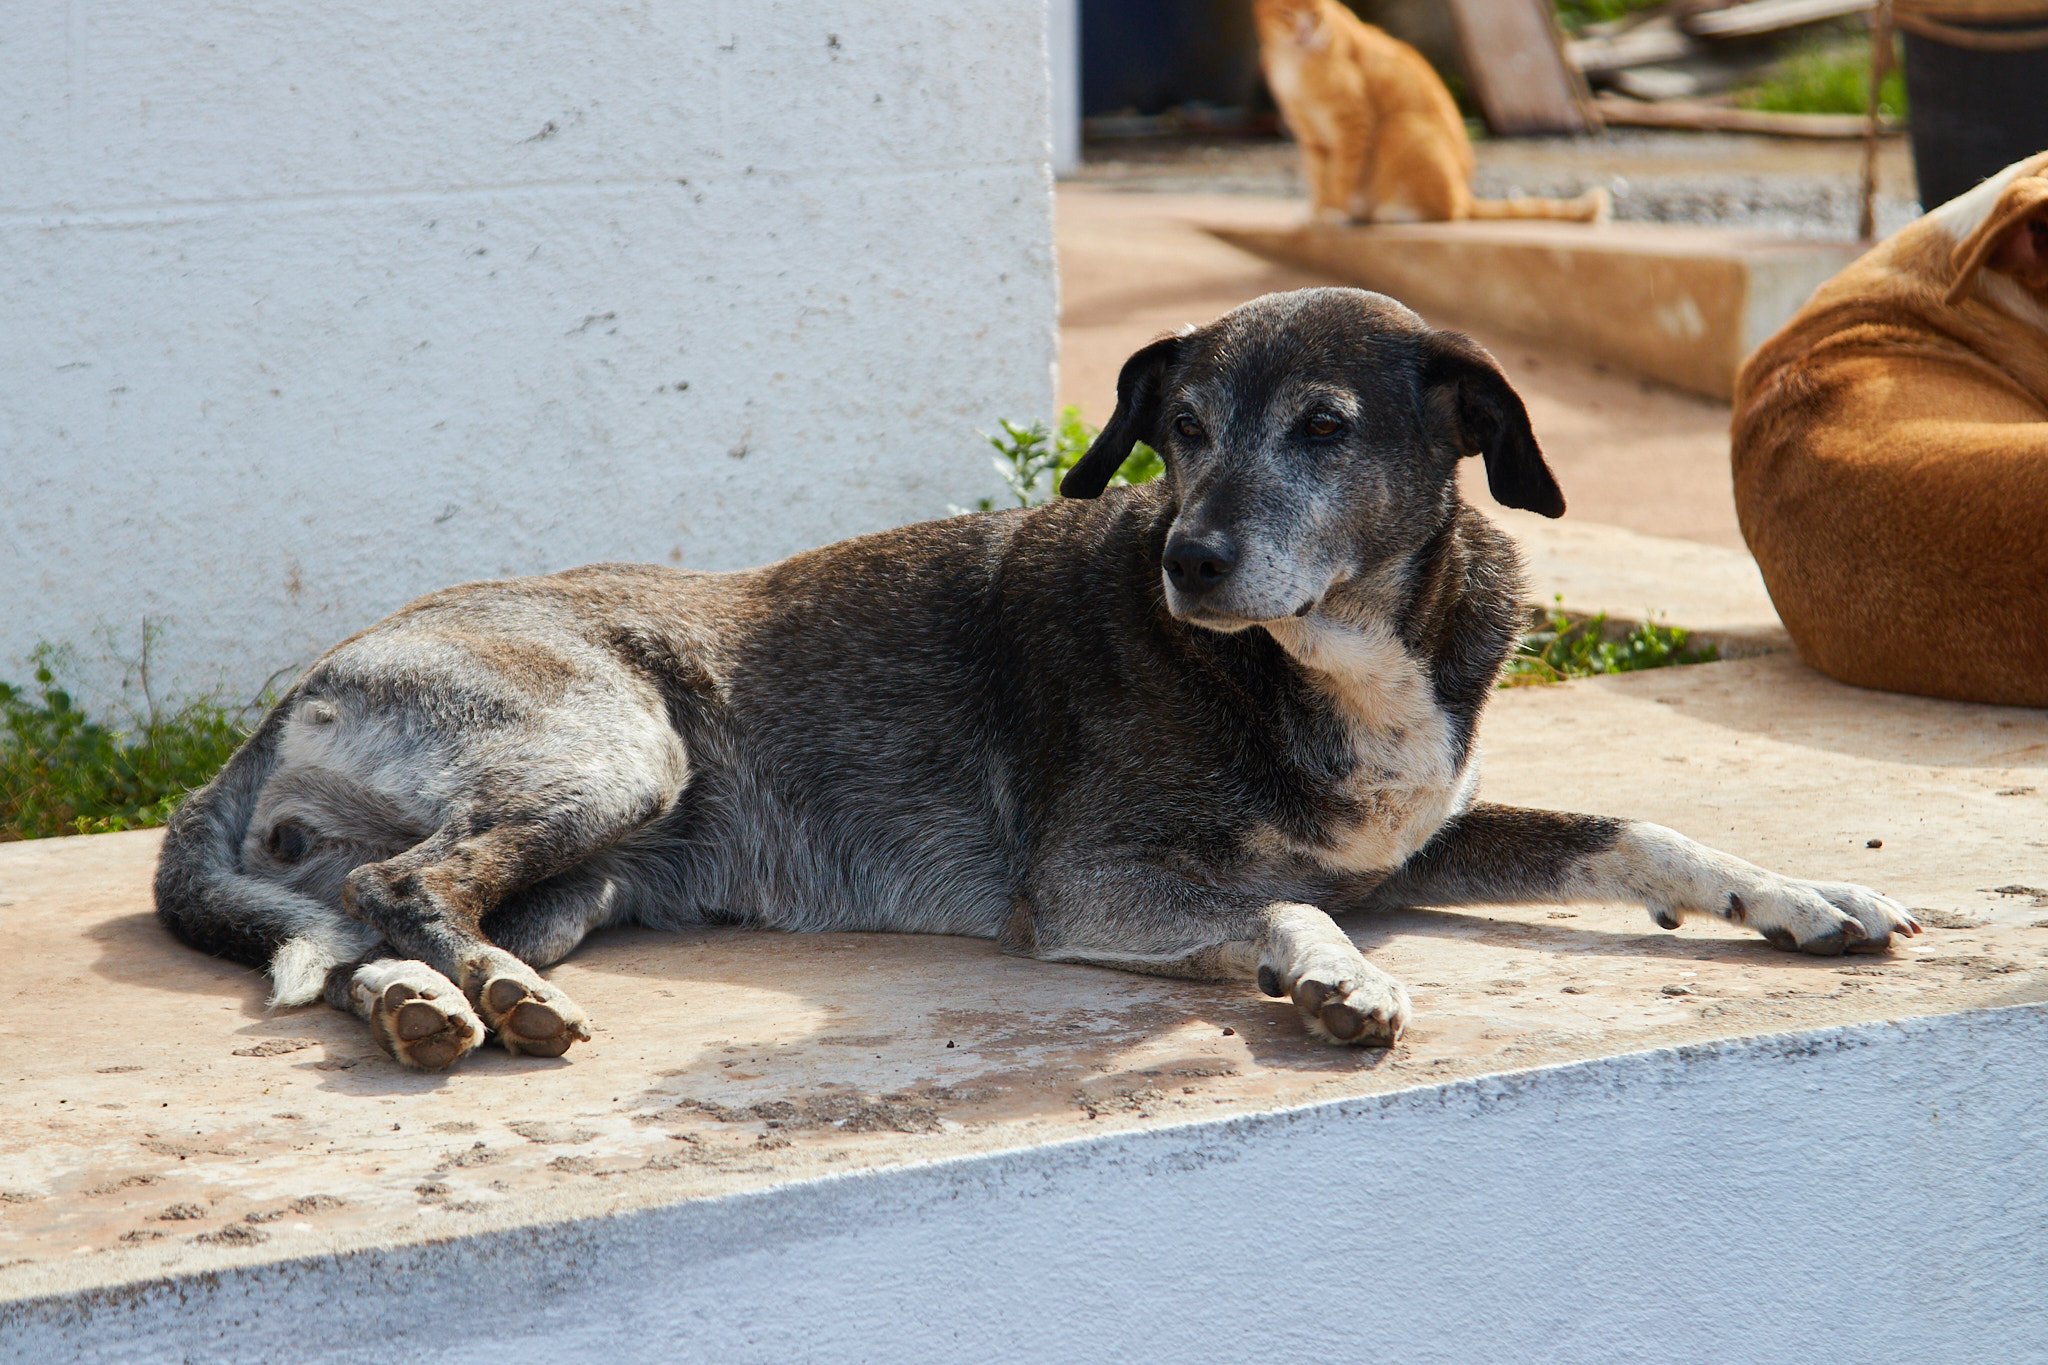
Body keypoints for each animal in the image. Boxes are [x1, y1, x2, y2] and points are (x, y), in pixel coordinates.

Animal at [156, 288, 1918, 1071]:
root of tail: (293, 692)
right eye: (1181, 426)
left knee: (365, 925)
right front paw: (1334, 978)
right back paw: (479, 999)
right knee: (398, 883)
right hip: (614, 747)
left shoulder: (1423, 837)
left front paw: (1808, 900)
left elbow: (1640, 833)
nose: (1187, 562)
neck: (1326, 661)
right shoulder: (1086, 886)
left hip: (587, 876)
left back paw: (434, 1003)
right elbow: (1288, 905)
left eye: (1325, 429)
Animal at [1252, 0, 1607, 225]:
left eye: (1316, 15)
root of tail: (1464, 191)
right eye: (1286, 14)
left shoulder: (1354, 121)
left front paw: (1335, 212)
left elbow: (1341, 174)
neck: (1293, 60)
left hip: (1399, 129)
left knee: (1450, 211)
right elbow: (1317, 177)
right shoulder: (1308, 131)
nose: (1304, 33)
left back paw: (1388, 213)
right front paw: (1316, 212)